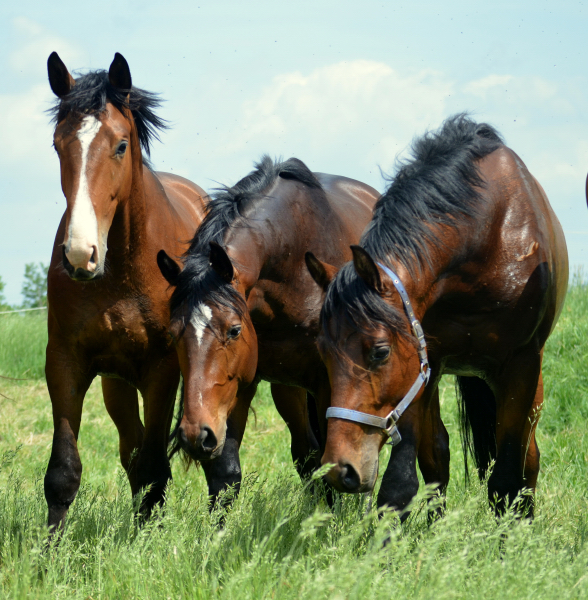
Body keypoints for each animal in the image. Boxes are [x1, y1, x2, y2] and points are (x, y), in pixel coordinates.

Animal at [43, 51, 207, 528]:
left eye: (120, 145)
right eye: (58, 145)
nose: (80, 254)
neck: (120, 274)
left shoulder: (161, 370)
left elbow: (154, 467)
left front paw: (147, 537)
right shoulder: (65, 361)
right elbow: (64, 470)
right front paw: (49, 546)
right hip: (115, 383)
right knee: (129, 449)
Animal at [156, 157, 450, 504]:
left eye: (234, 330)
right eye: (174, 334)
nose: (194, 434)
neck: (292, 265)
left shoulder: (329, 386)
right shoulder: (242, 381)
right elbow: (226, 476)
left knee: (432, 448)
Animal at [308, 115, 568, 516]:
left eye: (379, 352)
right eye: (322, 353)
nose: (340, 470)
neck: (486, 235)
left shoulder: (521, 365)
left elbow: (507, 479)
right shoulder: (424, 365)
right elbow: (405, 481)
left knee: (530, 460)